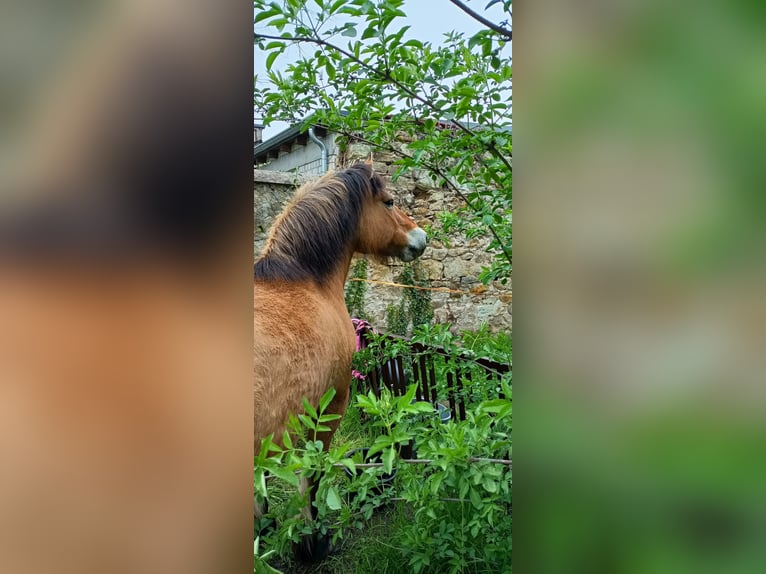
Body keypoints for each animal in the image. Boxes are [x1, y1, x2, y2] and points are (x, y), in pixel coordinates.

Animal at [255, 161, 428, 564]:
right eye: (389, 201)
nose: (421, 237)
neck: (305, 280)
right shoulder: (329, 406)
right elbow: (312, 474)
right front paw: (312, 542)